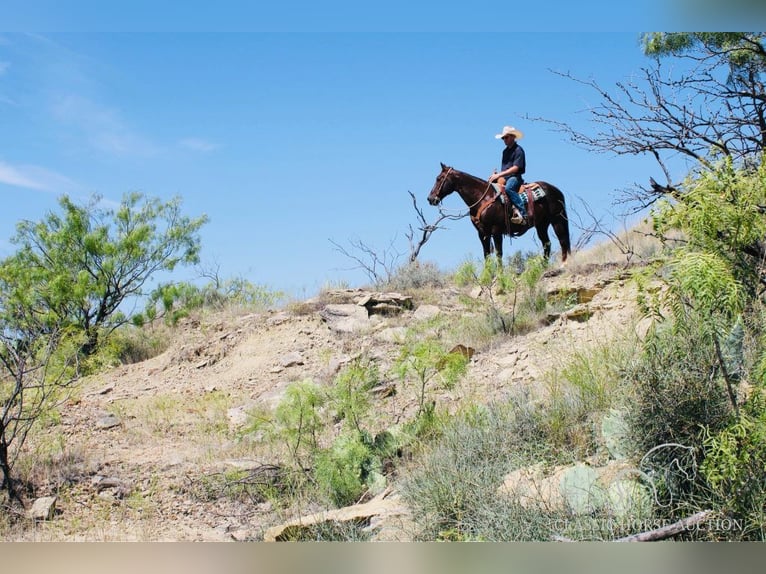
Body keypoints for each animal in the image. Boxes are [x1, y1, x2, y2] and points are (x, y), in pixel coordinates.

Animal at [432, 163, 568, 264]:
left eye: (439, 179)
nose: (430, 198)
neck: (483, 197)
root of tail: (556, 190)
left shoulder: (496, 230)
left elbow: (498, 253)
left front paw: (499, 275)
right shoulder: (482, 233)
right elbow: (486, 254)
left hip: (557, 220)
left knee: (563, 240)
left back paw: (563, 264)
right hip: (541, 225)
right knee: (547, 244)